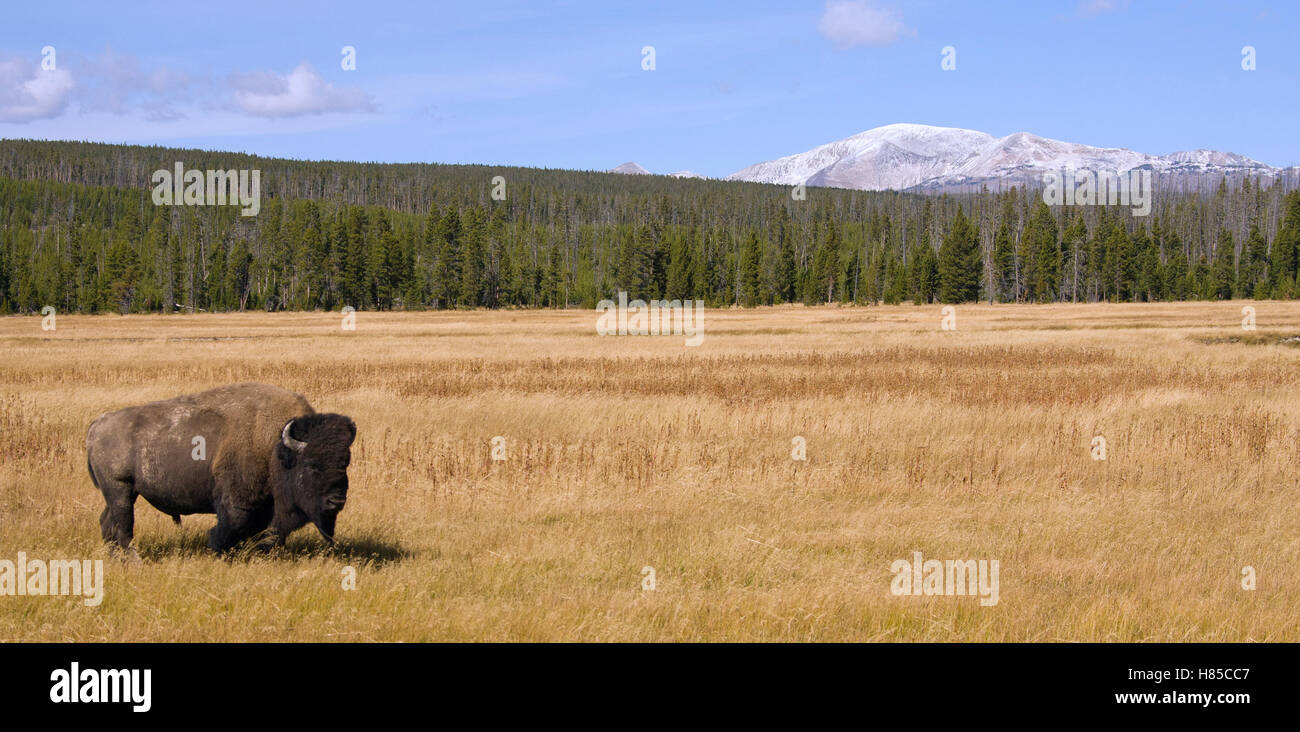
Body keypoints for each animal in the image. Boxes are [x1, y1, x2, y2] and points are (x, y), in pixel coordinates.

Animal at [86, 383, 356, 556]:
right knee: (123, 525)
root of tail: (98, 423)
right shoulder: (237, 501)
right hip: (120, 488)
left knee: (107, 521)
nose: (336, 501)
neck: (275, 447)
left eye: (345, 463)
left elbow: (266, 533)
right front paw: (219, 551)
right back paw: (133, 559)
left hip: (124, 492)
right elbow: (231, 526)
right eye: (311, 465)